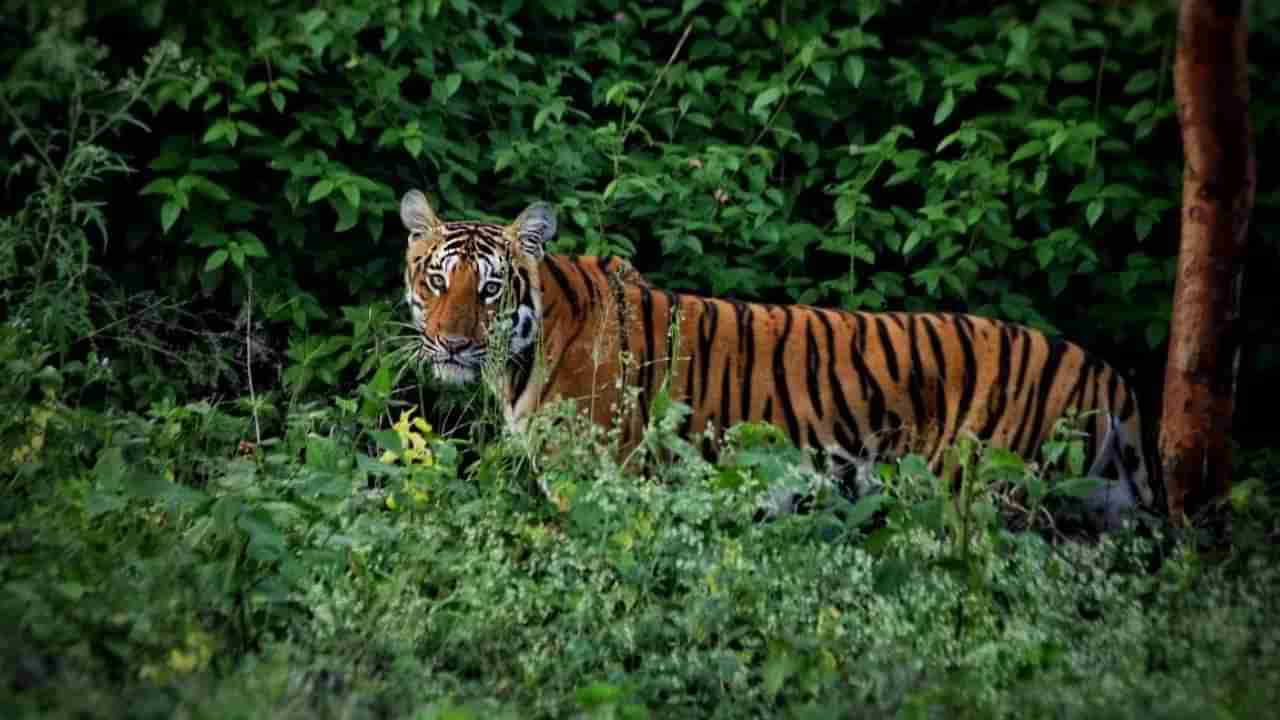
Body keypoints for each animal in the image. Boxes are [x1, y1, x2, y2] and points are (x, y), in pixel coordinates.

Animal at [401, 189, 1162, 527]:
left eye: (490, 289)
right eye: (437, 280)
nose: (453, 343)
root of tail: (1102, 368)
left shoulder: (596, 483)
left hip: (981, 500)